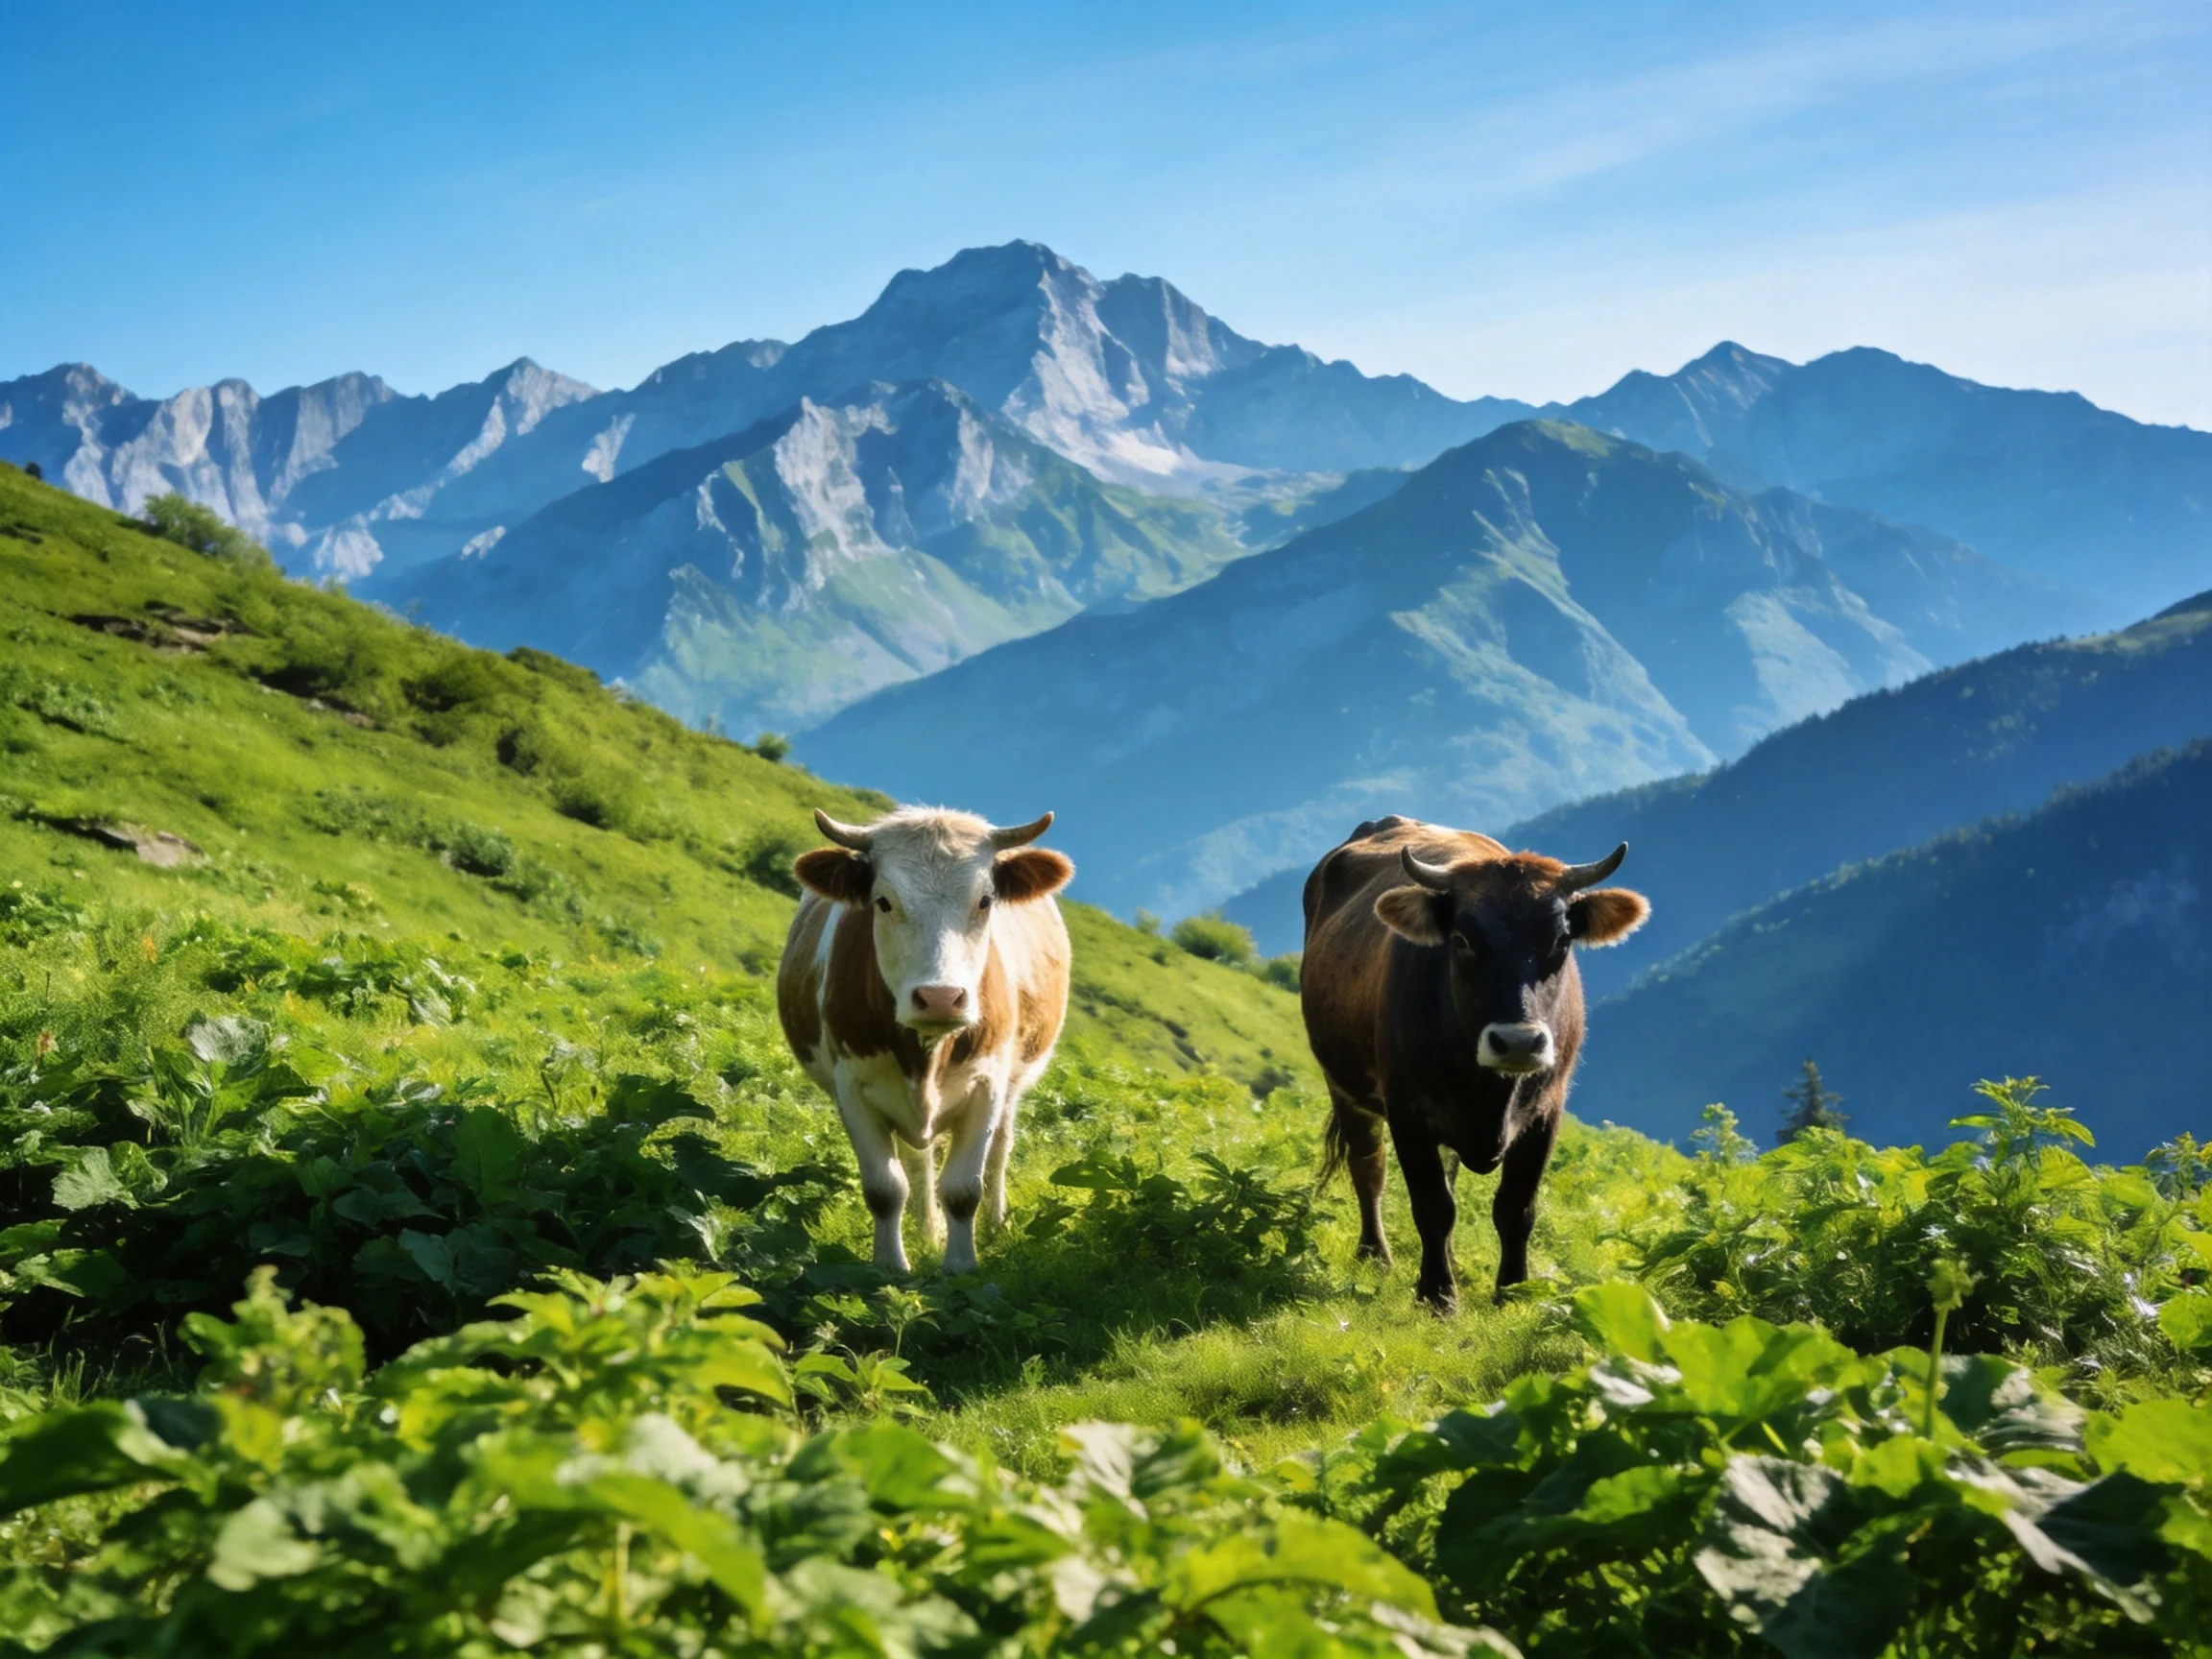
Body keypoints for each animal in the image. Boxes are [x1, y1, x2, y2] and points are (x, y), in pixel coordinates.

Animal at [776, 806, 1073, 1275]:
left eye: (985, 900)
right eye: (883, 901)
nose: (940, 998)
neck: (926, 1054)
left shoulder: (987, 1084)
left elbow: (963, 1189)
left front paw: (961, 1266)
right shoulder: (851, 1088)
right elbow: (885, 1188)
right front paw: (890, 1265)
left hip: (1012, 1086)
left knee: (999, 1151)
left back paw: (995, 1224)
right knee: (919, 1160)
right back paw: (928, 1233)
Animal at [1299, 816, 1649, 1312]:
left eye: (1562, 941)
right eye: (1462, 941)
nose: (1518, 1042)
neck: (1489, 1095)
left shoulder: (1547, 1113)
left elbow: (1516, 1208)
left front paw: (1514, 1292)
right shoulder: (1408, 1111)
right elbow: (1432, 1206)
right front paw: (1437, 1296)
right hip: (1344, 1085)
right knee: (1368, 1168)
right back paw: (1375, 1254)